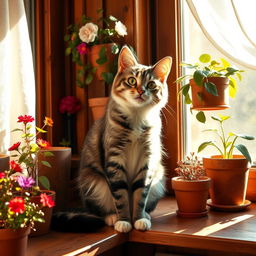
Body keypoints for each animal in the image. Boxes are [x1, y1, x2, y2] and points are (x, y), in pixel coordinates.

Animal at [51, 45, 172, 233]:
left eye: (151, 84)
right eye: (132, 81)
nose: (140, 91)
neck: (137, 117)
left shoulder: (147, 160)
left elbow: (140, 195)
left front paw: (139, 219)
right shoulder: (115, 158)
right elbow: (120, 196)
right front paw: (124, 221)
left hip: (159, 178)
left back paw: (146, 215)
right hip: (93, 182)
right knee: (101, 209)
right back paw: (112, 217)